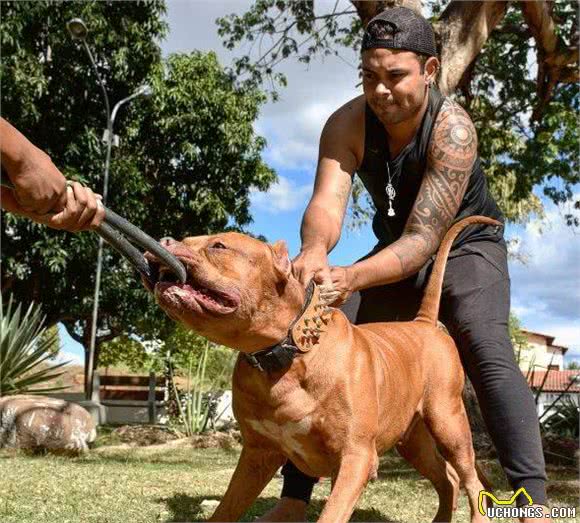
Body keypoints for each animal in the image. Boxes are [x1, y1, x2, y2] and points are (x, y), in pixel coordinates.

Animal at [142, 215, 498, 520]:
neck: (284, 354)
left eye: (218, 245)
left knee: (469, 478)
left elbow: (331, 514)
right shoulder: (257, 455)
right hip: (415, 442)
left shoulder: (355, 457)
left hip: (449, 423)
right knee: (448, 477)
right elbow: (226, 509)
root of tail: (423, 323)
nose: (164, 240)